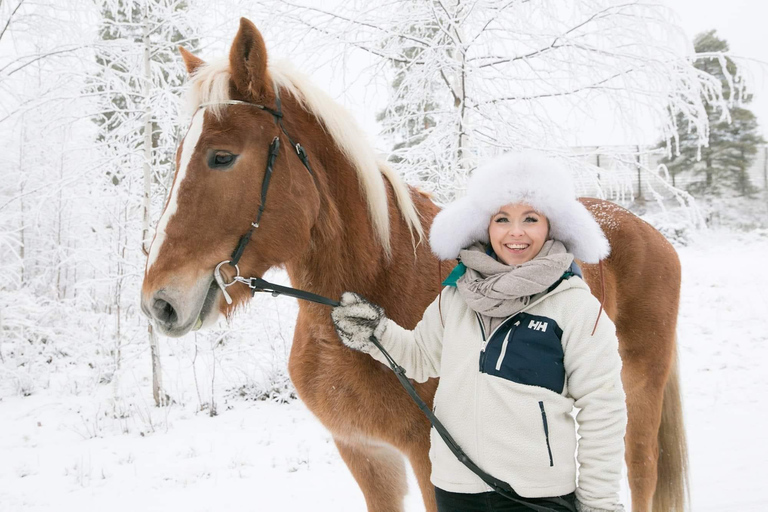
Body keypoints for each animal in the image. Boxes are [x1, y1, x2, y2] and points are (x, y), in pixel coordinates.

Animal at [141, 19, 688, 512]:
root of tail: (648, 231)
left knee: (640, 471)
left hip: (637, 389)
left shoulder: (431, 463)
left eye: (222, 156)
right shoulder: (365, 455)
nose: (158, 303)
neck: (384, 278)